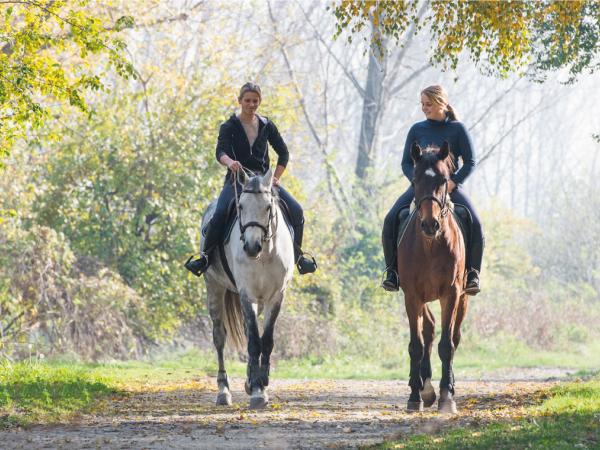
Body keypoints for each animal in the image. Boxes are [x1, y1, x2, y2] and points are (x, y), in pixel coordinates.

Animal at [202, 167, 296, 410]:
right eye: (241, 206)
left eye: (268, 207)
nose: (251, 247)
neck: (265, 254)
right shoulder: (247, 294)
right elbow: (254, 341)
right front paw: (256, 392)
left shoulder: (276, 296)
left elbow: (266, 340)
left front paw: (260, 382)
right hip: (214, 286)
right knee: (219, 336)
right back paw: (223, 391)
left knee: (246, 331)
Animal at [398, 142, 468, 414]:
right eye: (415, 179)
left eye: (443, 180)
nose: (430, 225)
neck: (430, 246)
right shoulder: (412, 295)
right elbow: (416, 345)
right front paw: (415, 396)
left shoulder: (451, 293)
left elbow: (447, 345)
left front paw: (447, 398)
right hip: (423, 298)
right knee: (427, 331)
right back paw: (424, 387)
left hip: (463, 298)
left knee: (454, 337)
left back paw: (446, 386)